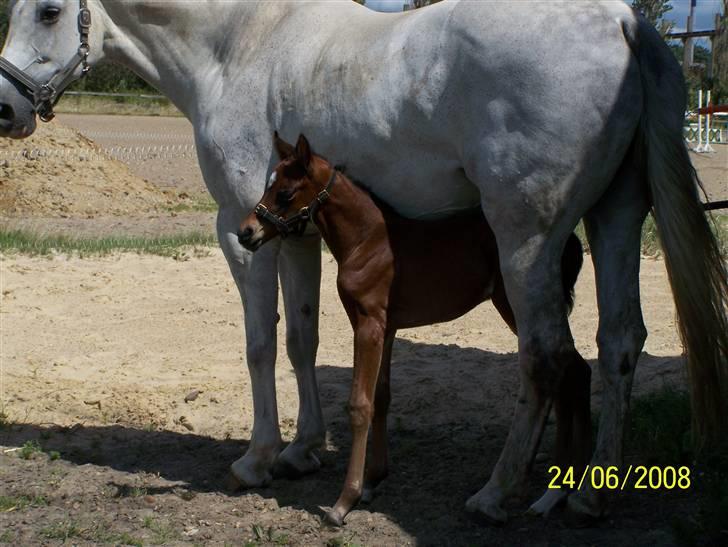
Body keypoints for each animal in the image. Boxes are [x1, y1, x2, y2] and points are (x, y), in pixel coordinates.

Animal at [239, 133, 592, 528]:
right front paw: (373, 481)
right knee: (575, 373)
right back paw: (561, 491)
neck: (367, 241)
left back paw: (554, 493)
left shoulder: (368, 324)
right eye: (269, 186)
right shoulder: (387, 327)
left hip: (515, 306)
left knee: (564, 370)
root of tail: (569, 243)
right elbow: (381, 396)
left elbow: (359, 404)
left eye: (284, 193)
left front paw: (345, 501)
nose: (246, 232)